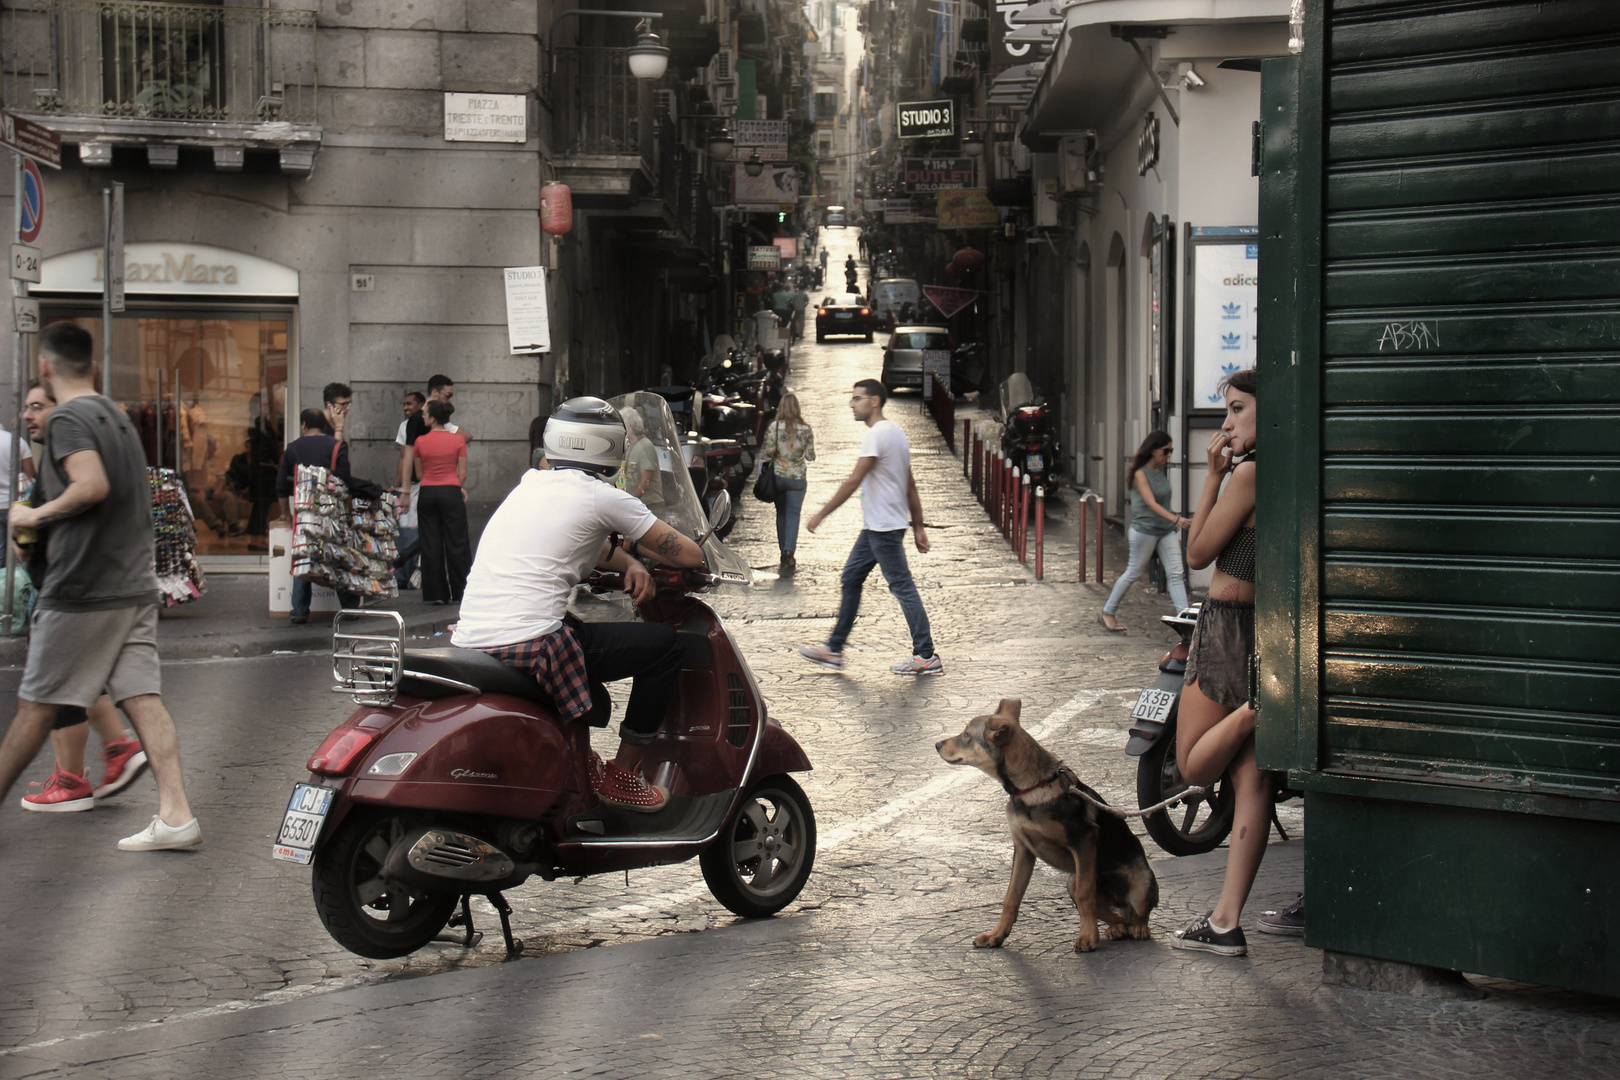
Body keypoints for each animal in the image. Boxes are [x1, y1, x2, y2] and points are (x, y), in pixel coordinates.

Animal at [933, 696, 1159, 952]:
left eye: (966, 735)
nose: (937, 745)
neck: (1031, 787)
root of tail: (1120, 901)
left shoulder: (1084, 840)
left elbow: (1085, 894)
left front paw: (1087, 937)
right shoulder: (1023, 849)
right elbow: (1011, 898)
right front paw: (996, 935)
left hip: (1140, 882)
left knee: (1137, 913)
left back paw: (1138, 928)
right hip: (1072, 881)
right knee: (1114, 915)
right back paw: (1116, 928)